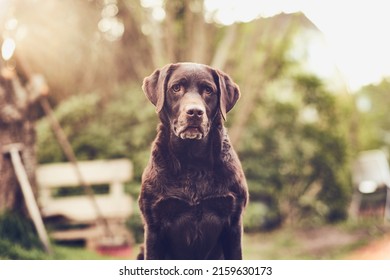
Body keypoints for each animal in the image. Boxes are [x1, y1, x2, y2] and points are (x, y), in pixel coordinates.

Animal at [139, 62, 248, 260]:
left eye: (208, 90)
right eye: (176, 88)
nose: (195, 112)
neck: (192, 163)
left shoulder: (234, 224)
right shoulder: (153, 228)